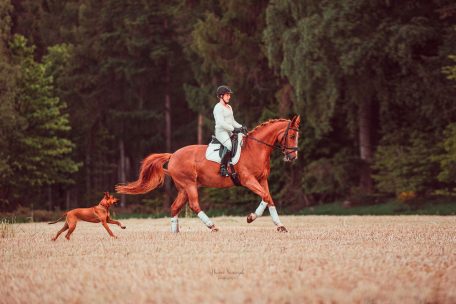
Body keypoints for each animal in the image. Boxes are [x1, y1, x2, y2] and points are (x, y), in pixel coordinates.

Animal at [115, 115, 300, 232]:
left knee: (175, 207)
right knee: (194, 205)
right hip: (189, 185)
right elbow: (266, 197)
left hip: (184, 188)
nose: (293, 156)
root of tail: (173, 155)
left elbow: (269, 199)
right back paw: (212, 226)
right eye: (291, 135)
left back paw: (175, 232)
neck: (255, 148)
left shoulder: (262, 180)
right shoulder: (248, 180)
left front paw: (280, 225)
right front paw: (251, 217)